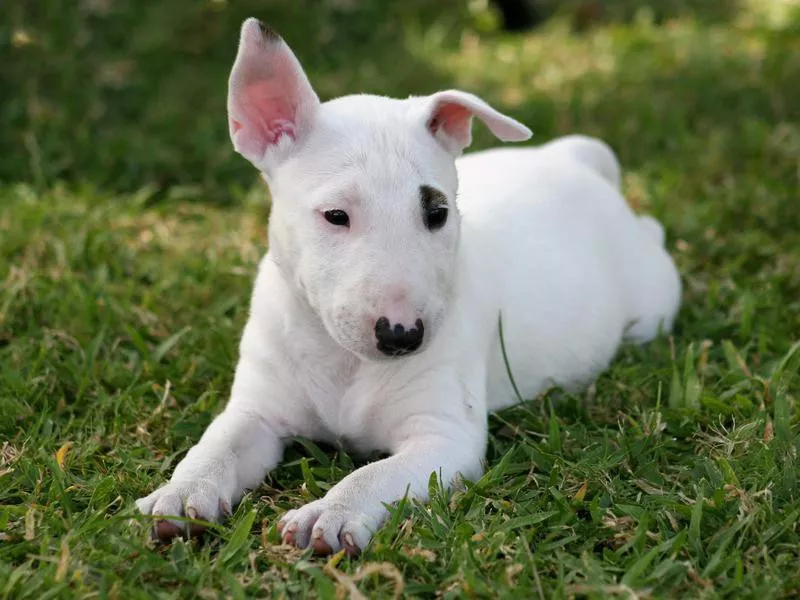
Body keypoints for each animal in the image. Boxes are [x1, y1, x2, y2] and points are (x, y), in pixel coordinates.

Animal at [136, 16, 680, 556]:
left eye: (438, 213)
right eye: (335, 215)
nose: (403, 336)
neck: (343, 359)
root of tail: (573, 159)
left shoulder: (443, 437)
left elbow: (375, 474)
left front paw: (330, 513)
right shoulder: (257, 410)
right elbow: (215, 447)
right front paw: (180, 494)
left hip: (652, 299)